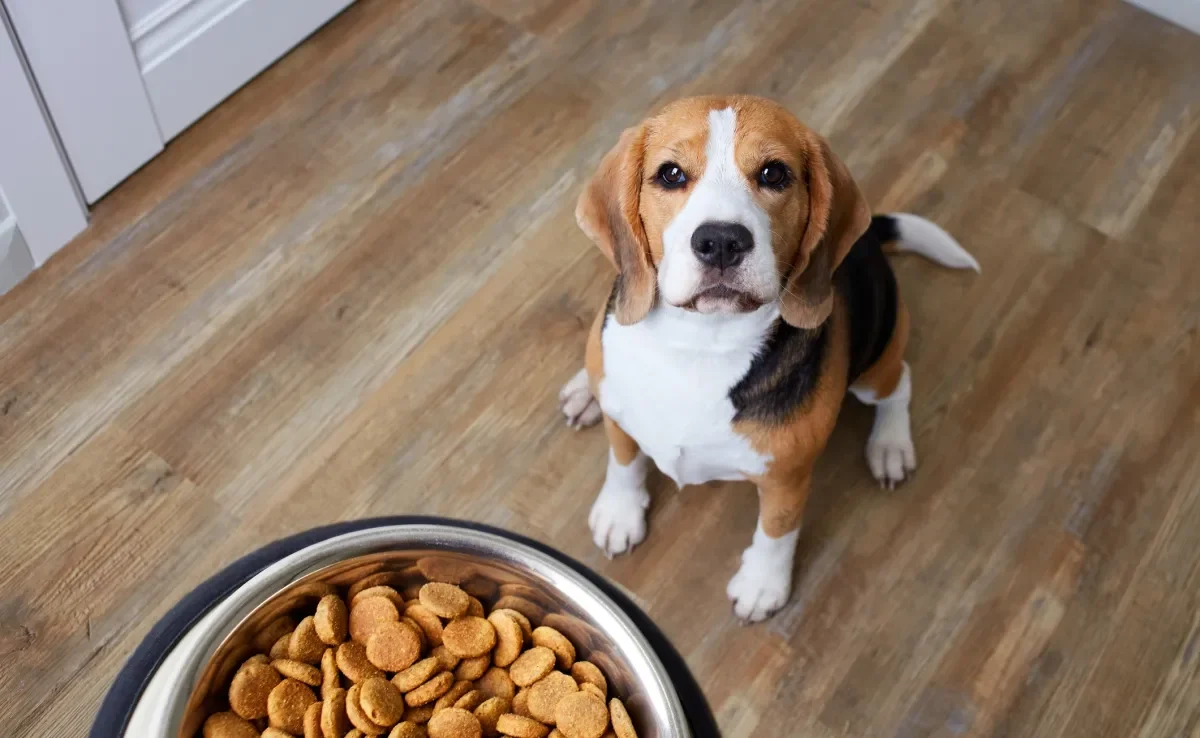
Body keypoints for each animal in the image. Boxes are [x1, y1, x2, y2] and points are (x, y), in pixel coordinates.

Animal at [556, 95, 979, 619]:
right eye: (670, 174)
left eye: (774, 174)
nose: (720, 241)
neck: (699, 345)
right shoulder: (621, 412)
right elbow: (624, 459)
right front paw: (620, 511)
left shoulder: (787, 476)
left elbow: (777, 530)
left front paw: (763, 584)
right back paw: (582, 392)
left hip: (877, 360)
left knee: (899, 384)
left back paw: (890, 445)